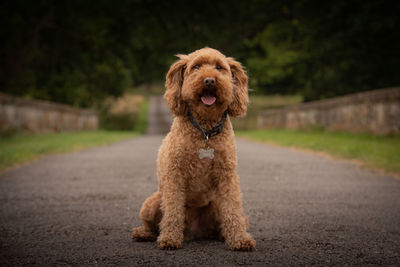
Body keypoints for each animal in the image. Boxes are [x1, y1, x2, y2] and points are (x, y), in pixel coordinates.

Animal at [133, 46, 255, 251]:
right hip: (151, 204)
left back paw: (222, 235)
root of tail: (195, 232)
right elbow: (173, 210)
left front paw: (239, 239)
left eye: (219, 67)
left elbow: (233, 208)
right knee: (152, 224)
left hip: (215, 205)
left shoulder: (227, 176)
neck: (204, 130)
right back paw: (144, 233)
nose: (209, 81)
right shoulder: (175, 175)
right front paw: (170, 239)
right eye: (196, 67)